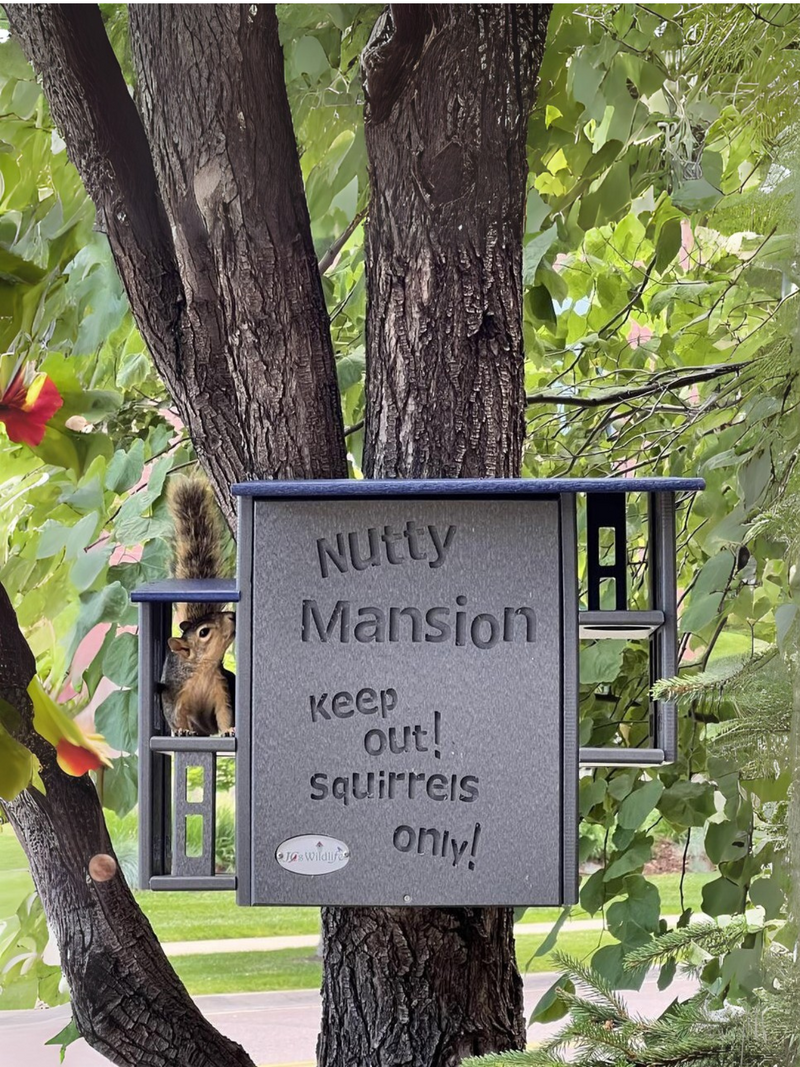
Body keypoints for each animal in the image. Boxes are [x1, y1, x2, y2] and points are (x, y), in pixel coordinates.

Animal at [157, 477, 236, 737]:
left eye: (216, 612)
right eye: (204, 632)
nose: (232, 617)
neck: (203, 670)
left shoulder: (221, 690)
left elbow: (224, 714)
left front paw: (229, 730)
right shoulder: (177, 694)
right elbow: (176, 717)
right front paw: (181, 731)